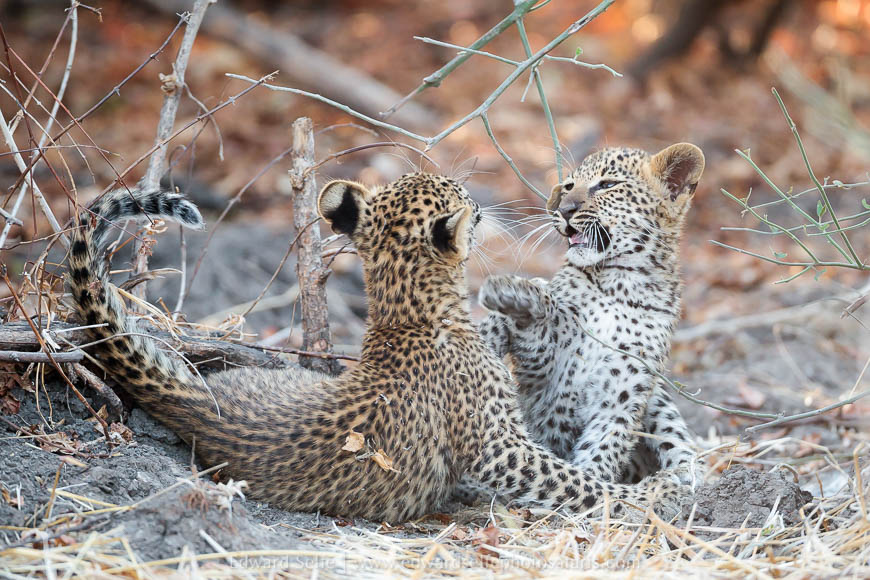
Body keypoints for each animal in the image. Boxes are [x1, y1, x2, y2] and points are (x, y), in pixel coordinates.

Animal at [66, 172, 685, 524]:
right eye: (465, 199)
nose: (482, 204)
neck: (406, 308)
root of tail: (195, 405)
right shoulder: (499, 447)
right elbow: (573, 481)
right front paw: (647, 497)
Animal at [477, 143, 705, 488]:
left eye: (607, 185)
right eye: (569, 186)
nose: (564, 210)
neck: (620, 284)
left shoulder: (622, 395)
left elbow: (602, 451)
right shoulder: (543, 372)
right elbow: (541, 317)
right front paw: (515, 293)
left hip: (658, 399)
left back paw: (689, 476)